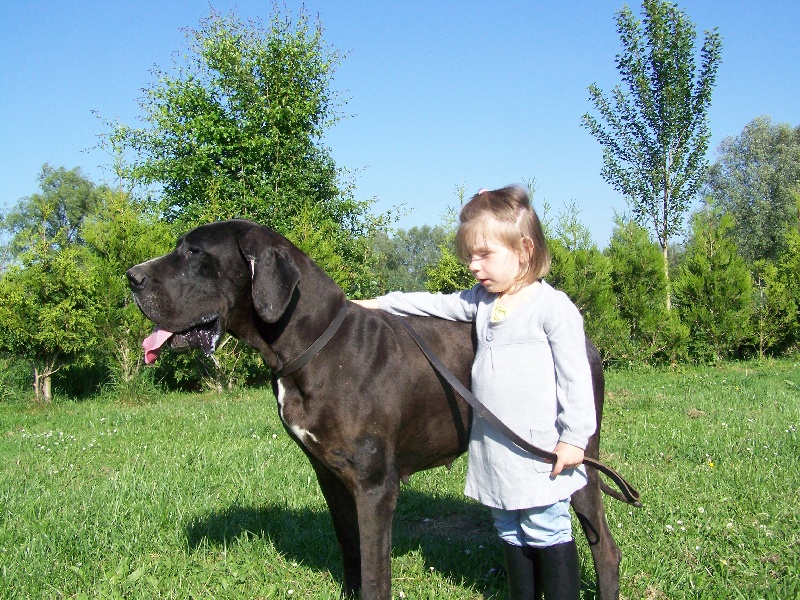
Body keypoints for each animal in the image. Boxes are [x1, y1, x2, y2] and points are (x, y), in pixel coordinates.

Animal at [126, 220, 624, 600]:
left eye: (194, 252)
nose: (131, 276)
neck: (314, 347)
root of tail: (584, 338)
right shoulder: (331, 476)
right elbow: (351, 550)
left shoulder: (375, 486)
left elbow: (375, 568)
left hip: (575, 461)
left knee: (604, 549)